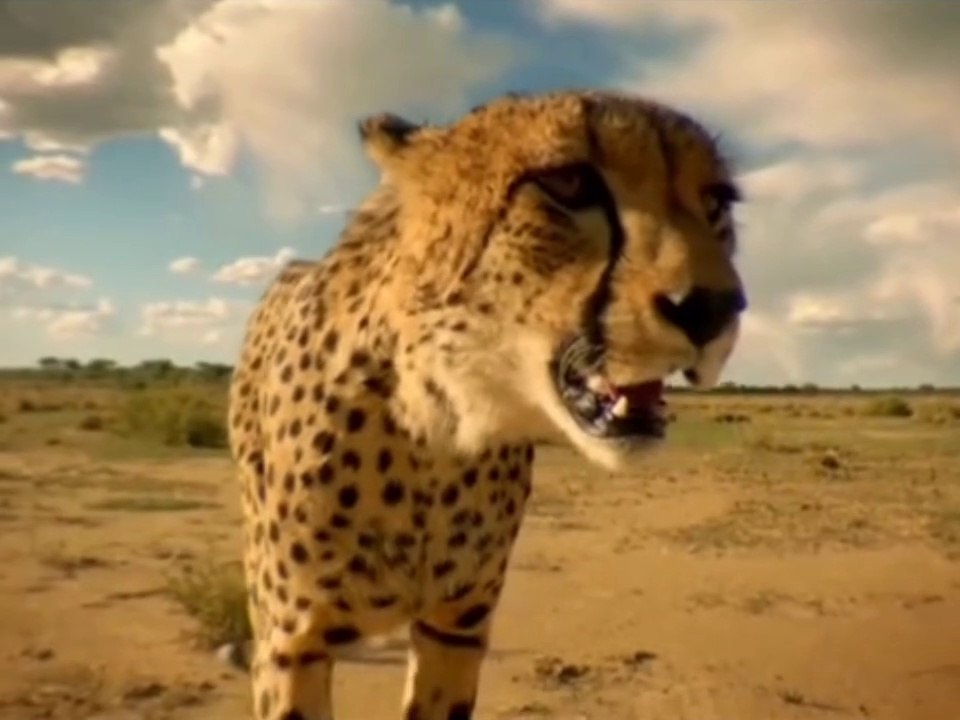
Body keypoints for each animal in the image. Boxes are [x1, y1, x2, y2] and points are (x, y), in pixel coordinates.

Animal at [227, 88, 748, 720]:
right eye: (568, 183)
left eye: (715, 202)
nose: (715, 308)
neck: (438, 433)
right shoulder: (291, 644)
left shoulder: (456, 627)